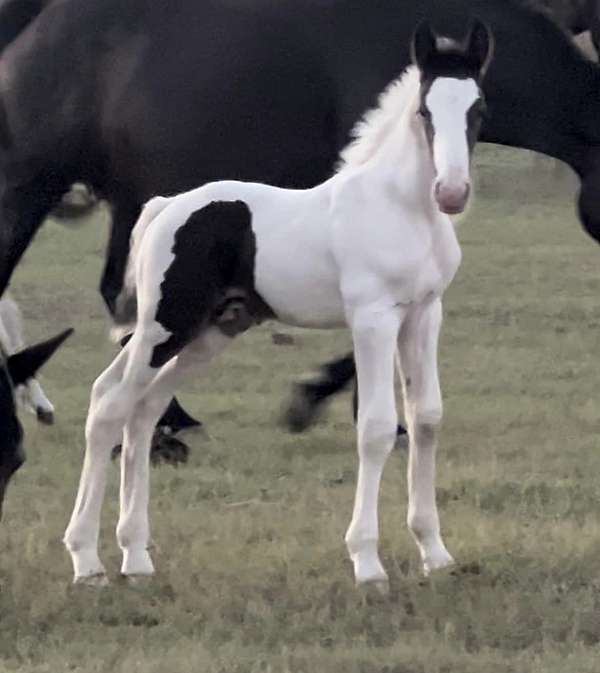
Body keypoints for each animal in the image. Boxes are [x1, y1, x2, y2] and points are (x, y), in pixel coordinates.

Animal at [0, 0, 600, 496]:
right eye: (425, 114)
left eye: (480, 112)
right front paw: (328, 405)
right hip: (32, 184)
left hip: (133, 200)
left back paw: (164, 424)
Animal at [64, 23, 492, 584]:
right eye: (424, 110)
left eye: (478, 108)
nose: (452, 192)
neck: (401, 207)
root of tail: (164, 207)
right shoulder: (373, 318)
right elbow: (376, 427)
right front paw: (367, 562)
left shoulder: (423, 314)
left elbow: (427, 419)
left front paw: (435, 553)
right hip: (165, 325)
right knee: (109, 402)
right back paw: (86, 561)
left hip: (209, 332)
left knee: (144, 408)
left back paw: (135, 556)